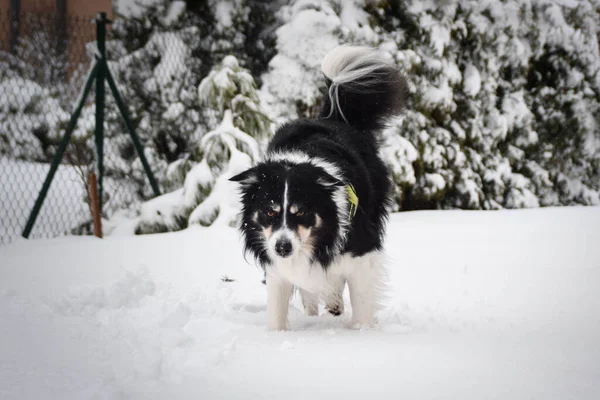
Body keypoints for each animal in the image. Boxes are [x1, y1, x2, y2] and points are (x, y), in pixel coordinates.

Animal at [230, 44, 408, 332]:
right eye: (269, 212)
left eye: (301, 212)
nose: (282, 248)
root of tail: (332, 117)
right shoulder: (276, 263)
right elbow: (278, 305)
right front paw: (276, 336)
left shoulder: (361, 251)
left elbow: (361, 298)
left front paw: (362, 332)